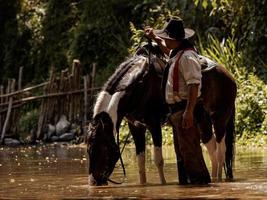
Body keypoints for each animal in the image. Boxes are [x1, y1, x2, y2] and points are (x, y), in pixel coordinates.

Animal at [85, 42, 237, 186]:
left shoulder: (154, 124)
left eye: (104, 147)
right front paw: (143, 185)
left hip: (219, 119)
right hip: (202, 122)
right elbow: (141, 161)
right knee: (212, 151)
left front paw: (163, 184)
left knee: (221, 151)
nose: (93, 182)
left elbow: (158, 160)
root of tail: (229, 76)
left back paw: (218, 180)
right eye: (88, 148)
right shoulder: (135, 126)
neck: (141, 85)